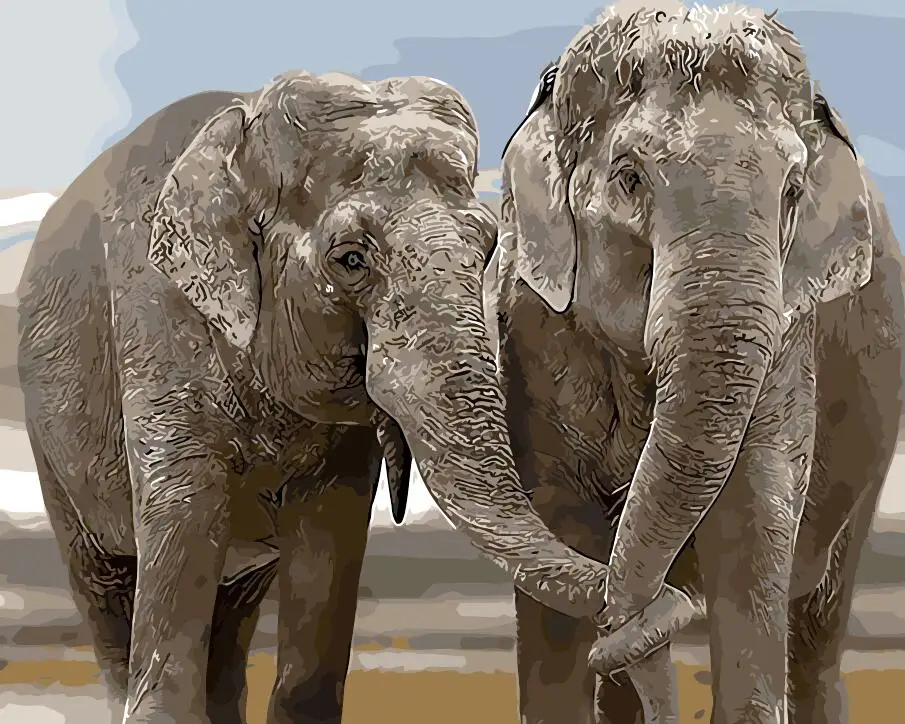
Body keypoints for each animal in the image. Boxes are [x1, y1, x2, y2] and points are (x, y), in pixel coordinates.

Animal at [15, 69, 661, 724]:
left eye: (486, 249)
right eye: (351, 259)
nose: (665, 605)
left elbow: (330, 538)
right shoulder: (156, 322)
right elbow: (185, 513)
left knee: (232, 616)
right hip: (53, 450)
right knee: (104, 592)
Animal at [486, 2, 905, 723]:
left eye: (792, 190)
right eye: (628, 177)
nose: (643, 617)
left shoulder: (787, 340)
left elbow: (750, 520)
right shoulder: (533, 336)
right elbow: (558, 528)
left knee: (819, 624)